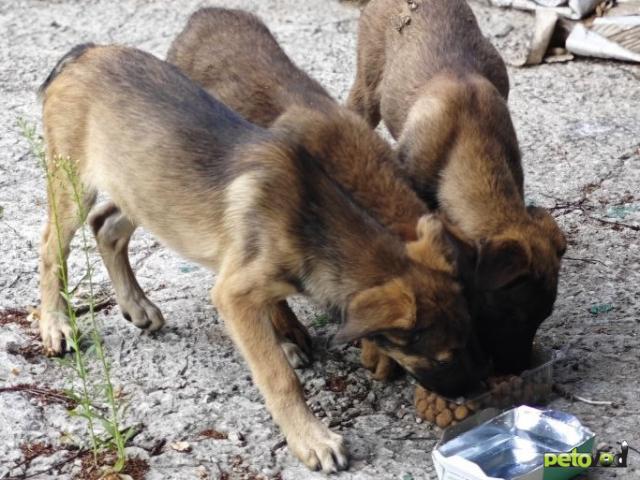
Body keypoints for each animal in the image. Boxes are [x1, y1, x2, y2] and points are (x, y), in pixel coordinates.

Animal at [38, 43, 480, 470]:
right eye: (444, 358)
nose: (475, 395)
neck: (313, 223)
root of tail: (84, 53)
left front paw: (283, 343)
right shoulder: (234, 293)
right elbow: (279, 376)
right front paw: (311, 438)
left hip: (146, 191)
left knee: (106, 227)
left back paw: (136, 305)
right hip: (75, 187)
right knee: (51, 248)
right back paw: (55, 325)